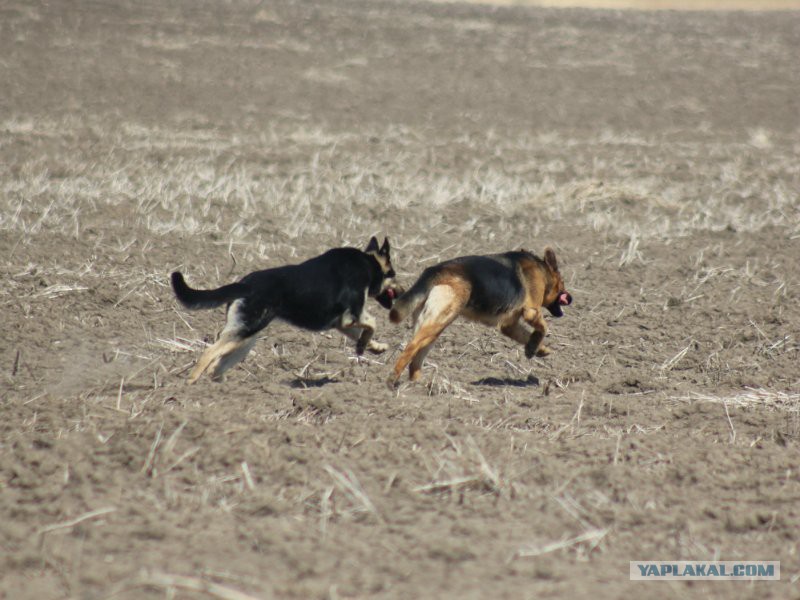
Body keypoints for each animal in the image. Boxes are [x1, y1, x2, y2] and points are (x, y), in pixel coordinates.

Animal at [171, 236, 399, 383]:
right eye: (394, 276)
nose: (402, 290)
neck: (368, 264)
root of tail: (245, 284)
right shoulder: (351, 316)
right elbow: (372, 323)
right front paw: (364, 346)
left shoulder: (342, 323)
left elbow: (362, 333)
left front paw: (373, 347)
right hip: (246, 331)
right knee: (209, 353)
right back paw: (192, 385)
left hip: (246, 337)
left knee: (217, 365)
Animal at [387, 247, 572, 386]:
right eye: (563, 284)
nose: (571, 298)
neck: (542, 269)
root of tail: (434, 272)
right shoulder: (531, 311)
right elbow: (543, 327)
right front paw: (534, 347)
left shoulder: (509, 325)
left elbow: (526, 335)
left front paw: (538, 349)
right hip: (438, 322)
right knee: (410, 348)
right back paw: (392, 381)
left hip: (432, 328)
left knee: (416, 358)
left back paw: (419, 385)